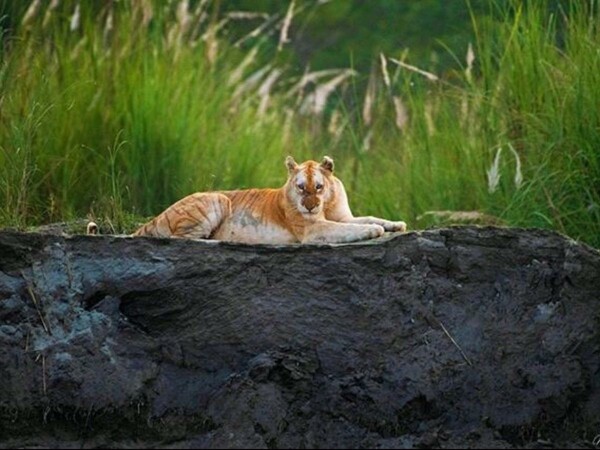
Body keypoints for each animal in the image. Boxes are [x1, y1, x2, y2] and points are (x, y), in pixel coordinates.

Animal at [115, 156, 408, 244]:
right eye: (301, 188)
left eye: (319, 187)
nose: (310, 206)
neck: (327, 203)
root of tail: (156, 217)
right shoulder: (312, 230)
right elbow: (350, 228)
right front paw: (374, 230)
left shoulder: (344, 215)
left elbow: (367, 217)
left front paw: (396, 224)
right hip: (216, 199)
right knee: (183, 239)